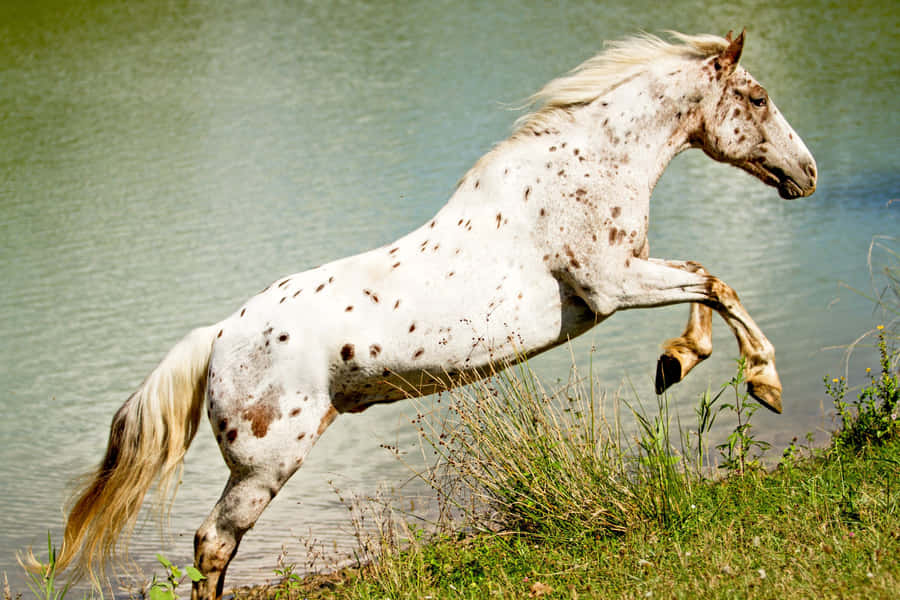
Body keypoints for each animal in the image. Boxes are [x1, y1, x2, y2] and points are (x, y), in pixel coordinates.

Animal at [31, 30, 816, 599]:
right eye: (757, 96)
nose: (806, 174)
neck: (582, 167)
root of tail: (219, 336)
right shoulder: (612, 285)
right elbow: (714, 283)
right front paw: (764, 382)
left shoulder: (626, 280)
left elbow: (706, 289)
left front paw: (674, 363)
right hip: (264, 467)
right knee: (211, 544)